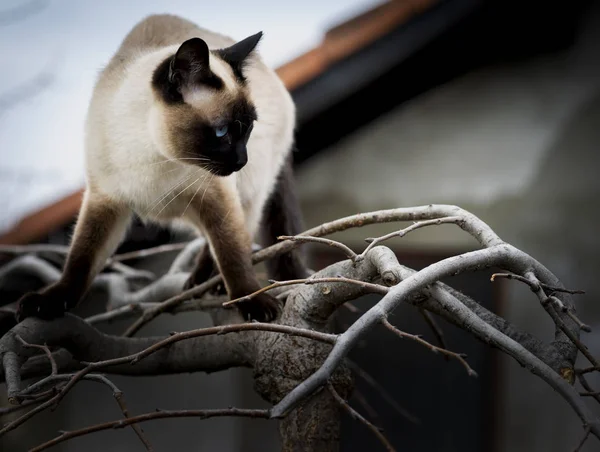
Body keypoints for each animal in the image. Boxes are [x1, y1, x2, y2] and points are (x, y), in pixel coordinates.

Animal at [16, 14, 308, 324]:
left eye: (249, 128)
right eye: (221, 132)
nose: (242, 161)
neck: (152, 156)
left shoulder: (214, 195)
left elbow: (232, 253)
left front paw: (250, 299)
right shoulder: (103, 201)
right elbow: (80, 261)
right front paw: (48, 303)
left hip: (249, 190)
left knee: (237, 233)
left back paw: (209, 282)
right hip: (187, 210)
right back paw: (199, 282)